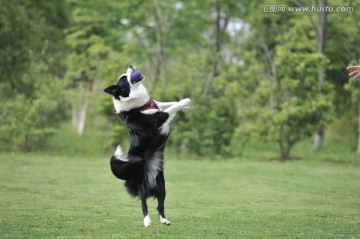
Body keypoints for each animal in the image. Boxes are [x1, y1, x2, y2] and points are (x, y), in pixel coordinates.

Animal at [103, 66, 190, 228]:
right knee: (144, 205)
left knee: (160, 205)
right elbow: (170, 109)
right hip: (142, 186)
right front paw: (184, 102)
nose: (131, 66)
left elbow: (168, 103)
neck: (138, 106)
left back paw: (164, 220)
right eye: (124, 78)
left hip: (162, 186)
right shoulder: (158, 118)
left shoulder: (158, 105)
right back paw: (147, 221)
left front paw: (185, 105)